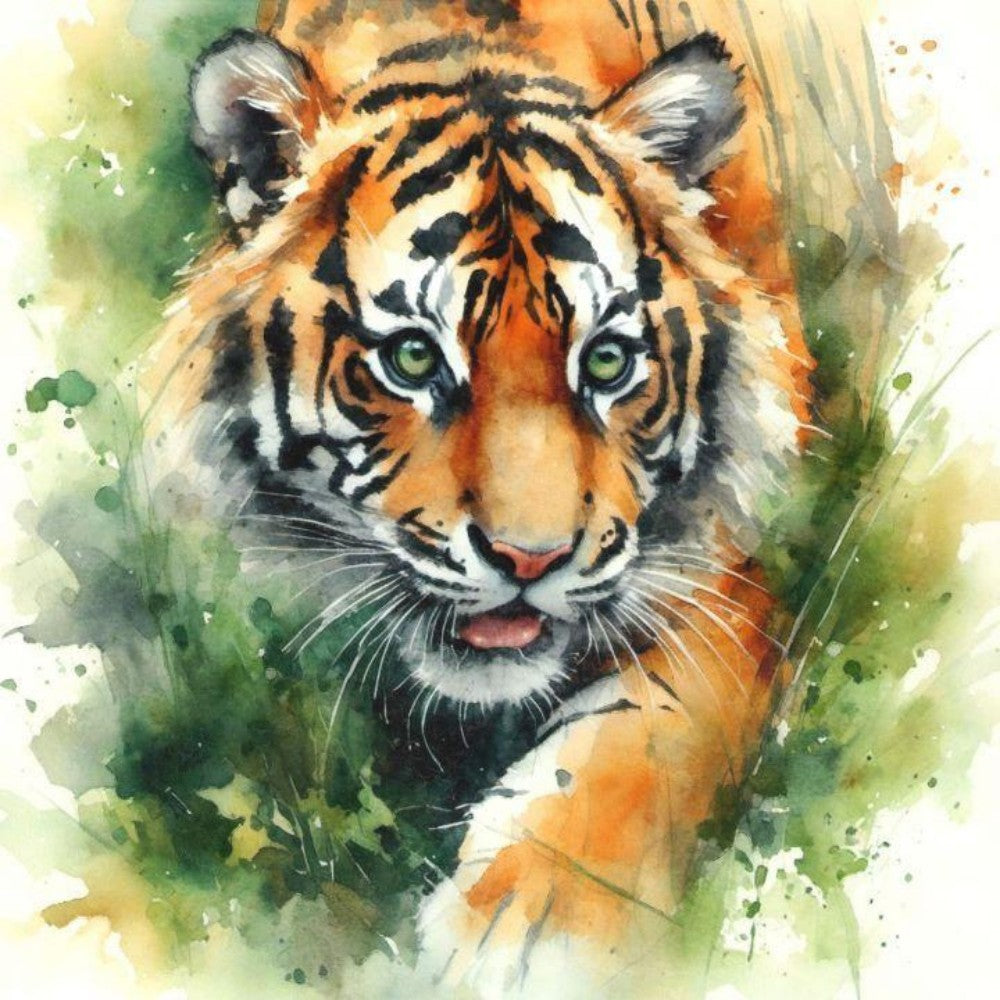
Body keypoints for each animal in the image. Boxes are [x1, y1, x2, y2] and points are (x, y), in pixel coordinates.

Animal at [139, 0, 843, 988]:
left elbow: (637, 742)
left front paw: (535, 925)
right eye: (411, 358)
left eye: (608, 362)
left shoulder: (722, 579)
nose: (529, 559)